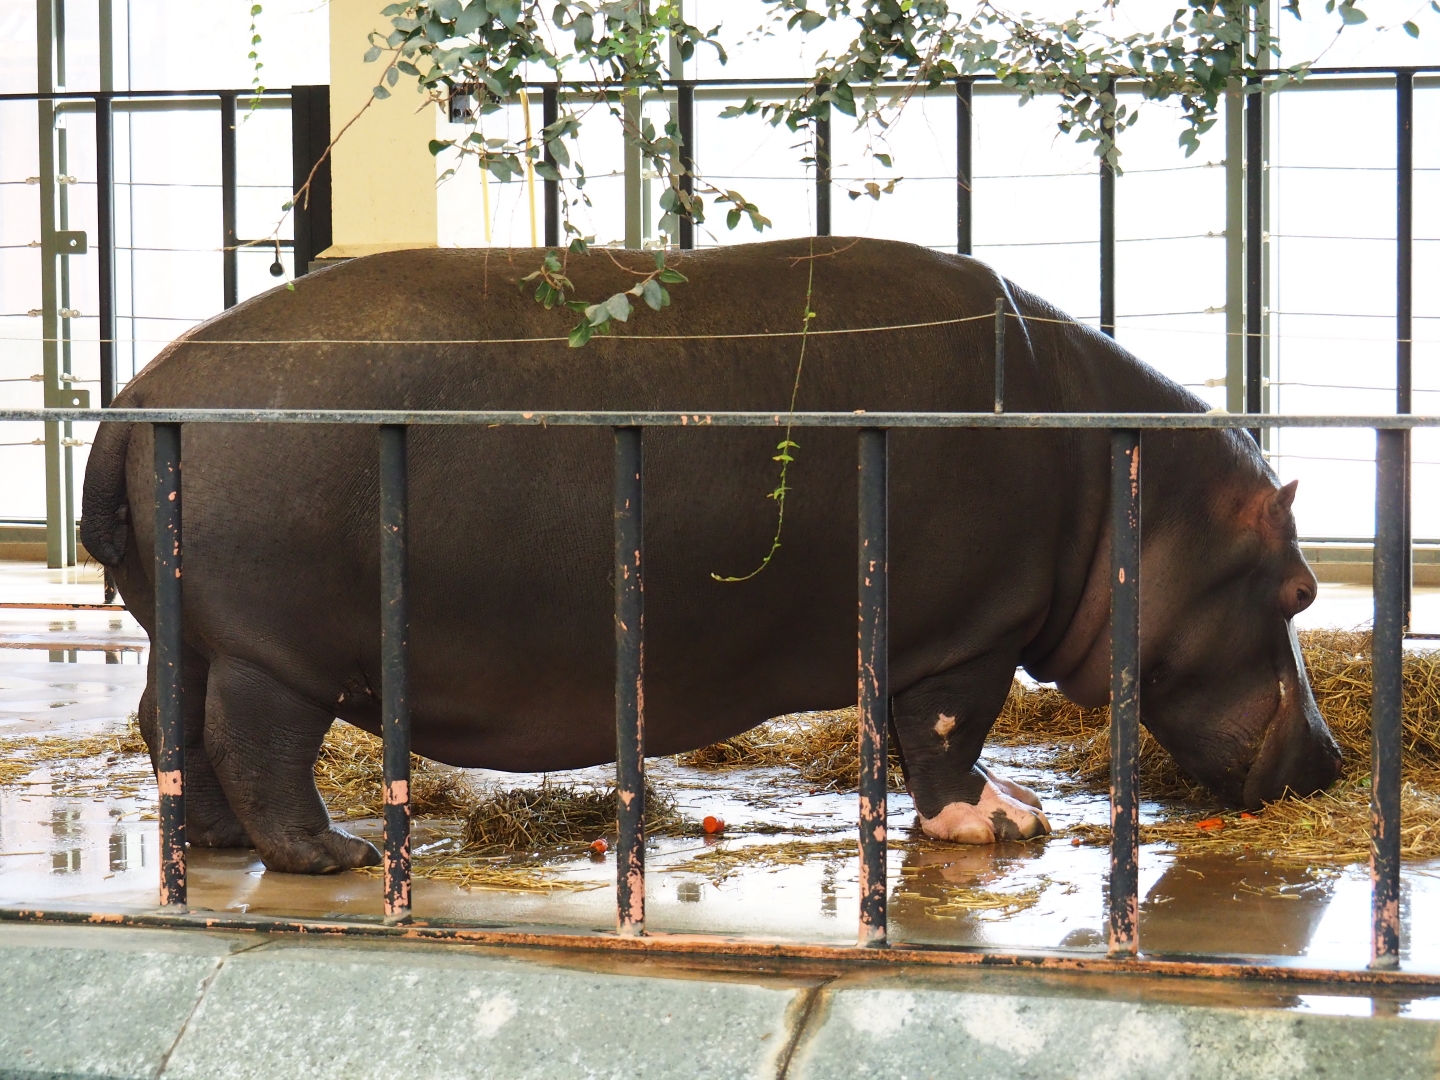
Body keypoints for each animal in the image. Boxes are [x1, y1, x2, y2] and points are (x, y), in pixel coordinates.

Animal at [82, 238, 1342, 873]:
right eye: (1302, 585)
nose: (1331, 760)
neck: (1135, 490)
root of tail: (140, 392)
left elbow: (902, 732)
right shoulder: (968, 634)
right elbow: (944, 734)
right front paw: (1004, 822)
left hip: (186, 626)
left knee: (167, 722)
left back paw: (216, 841)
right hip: (274, 648)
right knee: (253, 742)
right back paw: (328, 854)